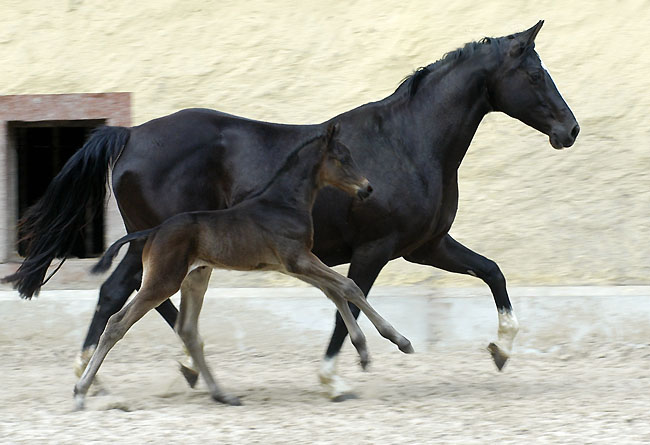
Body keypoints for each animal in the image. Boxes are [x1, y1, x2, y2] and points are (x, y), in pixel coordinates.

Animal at [74, 123, 410, 408]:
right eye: (341, 159)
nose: (367, 188)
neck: (284, 202)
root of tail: (153, 231)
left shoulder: (293, 265)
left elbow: (336, 292)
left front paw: (364, 351)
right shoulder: (298, 258)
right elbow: (349, 287)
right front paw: (397, 341)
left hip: (196, 278)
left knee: (188, 330)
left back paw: (221, 394)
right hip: (163, 280)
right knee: (117, 323)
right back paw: (80, 392)